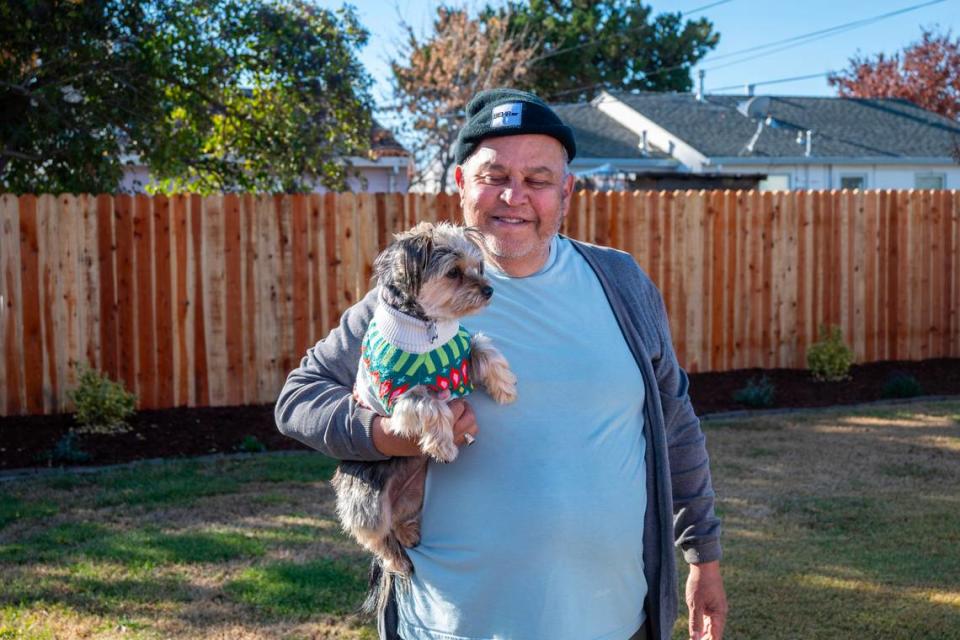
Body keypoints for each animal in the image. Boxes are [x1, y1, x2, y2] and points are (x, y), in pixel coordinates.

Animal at [334, 222, 520, 612]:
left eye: (478, 267)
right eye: (453, 273)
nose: (489, 290)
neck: (427, 327)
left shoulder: (460, 358)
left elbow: (482, 346)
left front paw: (504, 386)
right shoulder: (399, 398)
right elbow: (431, 406)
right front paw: (443, 444)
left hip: (414, 493)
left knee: (399, 519)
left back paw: (409, 531)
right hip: (367, 499)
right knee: (375, 535)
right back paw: (398, 560)